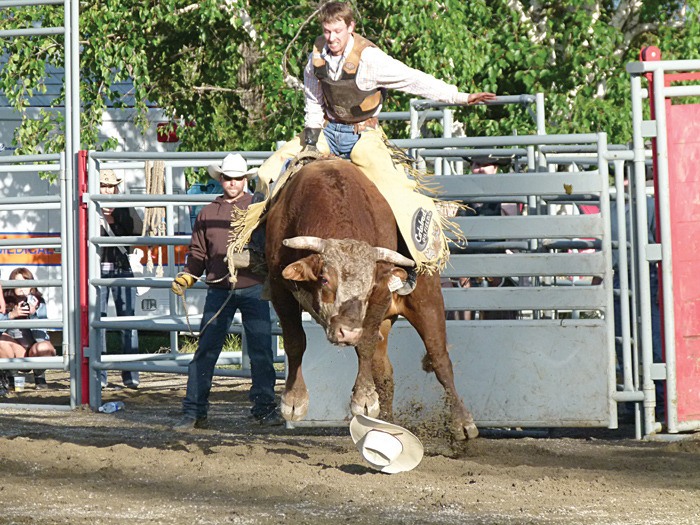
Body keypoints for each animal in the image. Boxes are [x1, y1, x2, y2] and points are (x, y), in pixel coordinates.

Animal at [266, 158, 478, 440]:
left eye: (368, 289)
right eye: (325, 279)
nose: (348, 333)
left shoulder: (380, 293)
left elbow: (365, 344)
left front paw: (364, 399)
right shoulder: (279, 289)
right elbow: (294, 342)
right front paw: (293, 400)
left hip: (427, 299)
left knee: (440, 358)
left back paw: (462, 421)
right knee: (383, 372)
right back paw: (385, 425)